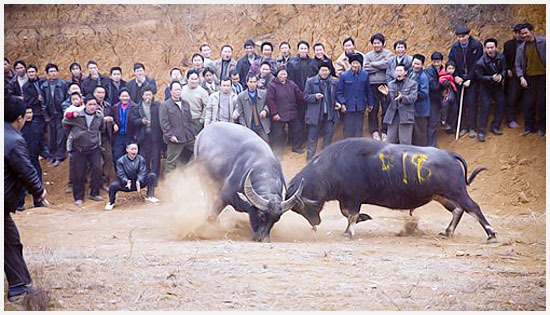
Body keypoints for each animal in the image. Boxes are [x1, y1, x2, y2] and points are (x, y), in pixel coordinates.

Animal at [286, 137, 498, 243]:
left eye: (302, 207)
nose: (315, 223)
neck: (332, 165)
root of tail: (449, 154)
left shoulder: (353, 197)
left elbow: (350, 214)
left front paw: (348, 232)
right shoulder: (347, 198)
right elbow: (347, 213)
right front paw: (362, 219)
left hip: (457, 191)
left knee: (473, 207)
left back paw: (491, 235)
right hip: (440, 195)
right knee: (458, 209)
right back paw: (447, 232)